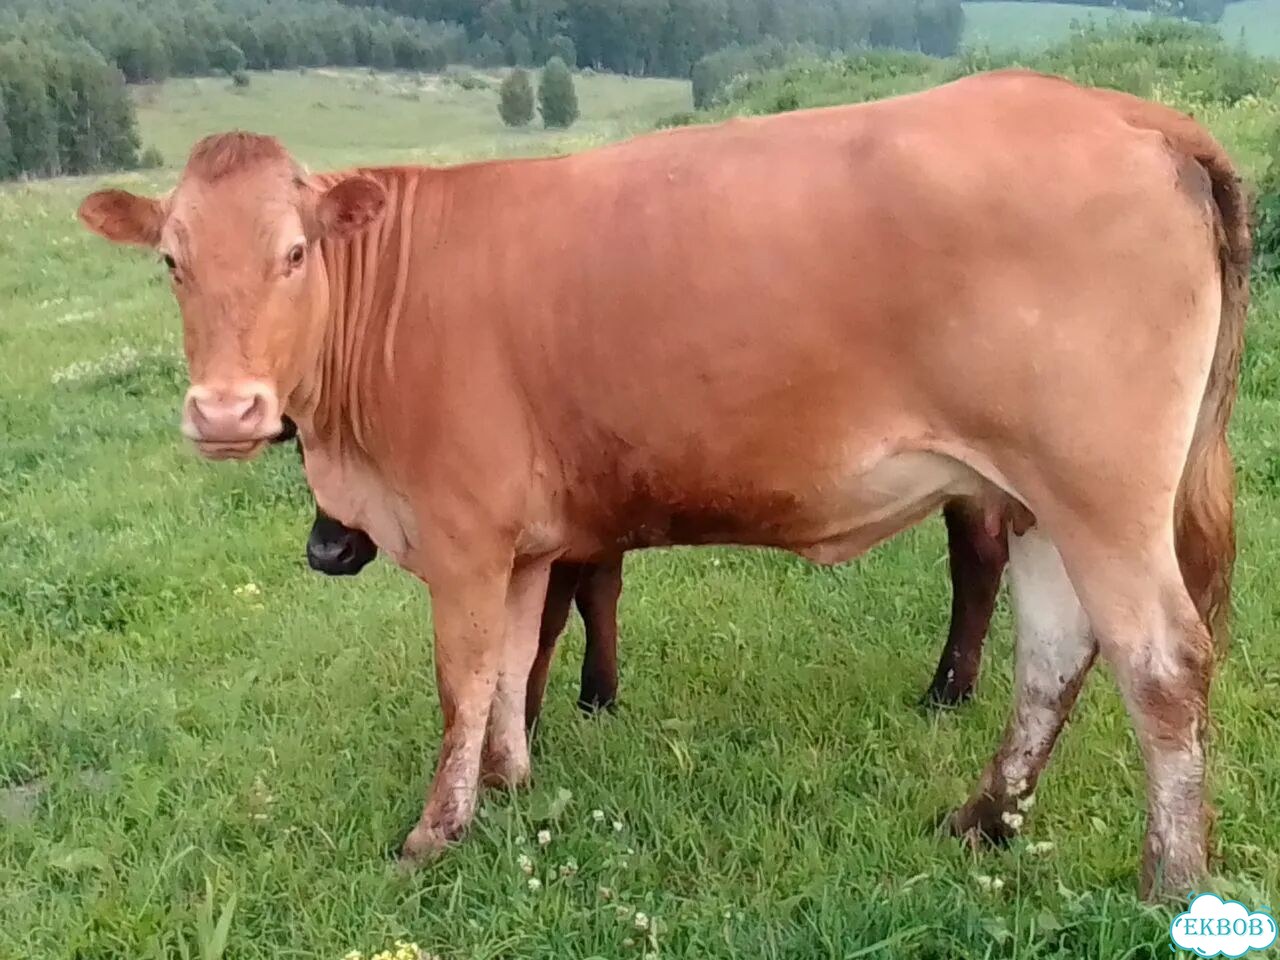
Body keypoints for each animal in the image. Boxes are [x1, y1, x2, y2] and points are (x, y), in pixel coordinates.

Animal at [79, 69, 1249, 899]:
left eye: (293, 253)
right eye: (173, 261)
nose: (225, 412)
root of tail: (1129, 112)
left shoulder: (462, 533)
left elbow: (464, 681)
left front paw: (434, 834)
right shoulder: (524, 542)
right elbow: (512, 665)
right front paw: (511, 786)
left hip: (1100, 491)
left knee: (1159, 663)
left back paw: (1169, 877)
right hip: (1041, 495)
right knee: (1051, 653)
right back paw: (985, 819)